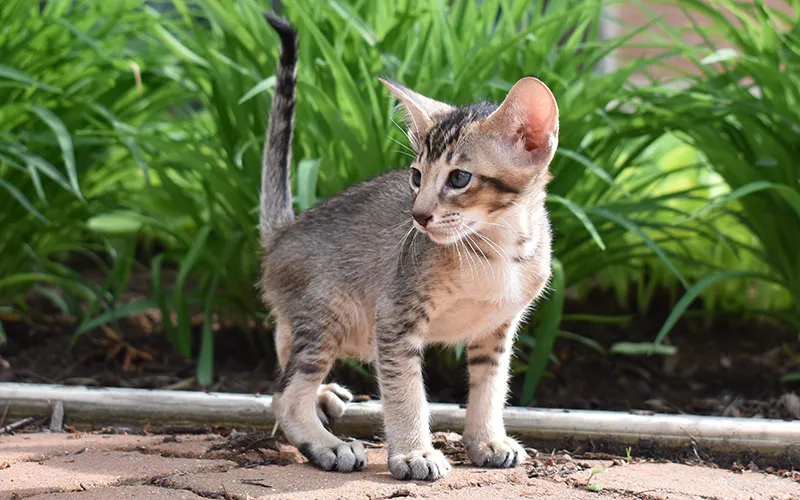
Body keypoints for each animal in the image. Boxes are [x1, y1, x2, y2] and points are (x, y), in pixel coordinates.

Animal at [260, 12, 560, 480]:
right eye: (416, 176)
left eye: (459, 178)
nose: (418, 216)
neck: (497, 250)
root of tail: (285, 231)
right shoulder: (395, 319)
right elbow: (405, 390)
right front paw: (414, 453)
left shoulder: (498, 328)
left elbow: (490, 388)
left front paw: (487, 440)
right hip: (332, 314)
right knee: (284, 394)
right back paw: (327, 444)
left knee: (284, 342)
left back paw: (323, 395)